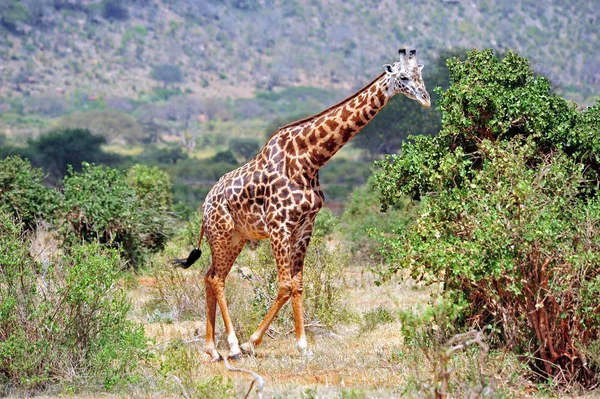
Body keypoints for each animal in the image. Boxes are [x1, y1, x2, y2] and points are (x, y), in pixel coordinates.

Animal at [173, 47, 432, 362]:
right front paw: (252, 343)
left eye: (420, 75)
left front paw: (302, 345)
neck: (310, 159)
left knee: (210, 276)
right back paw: (232, 346)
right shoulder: (278, 226)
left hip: (236, 238)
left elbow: (297, 284)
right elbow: (285, 284)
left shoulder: (305, 226)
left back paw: (212, 349)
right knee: (217, 280)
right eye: (403, 77)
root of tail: (205, 205)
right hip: (221, 233)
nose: (426, 99)